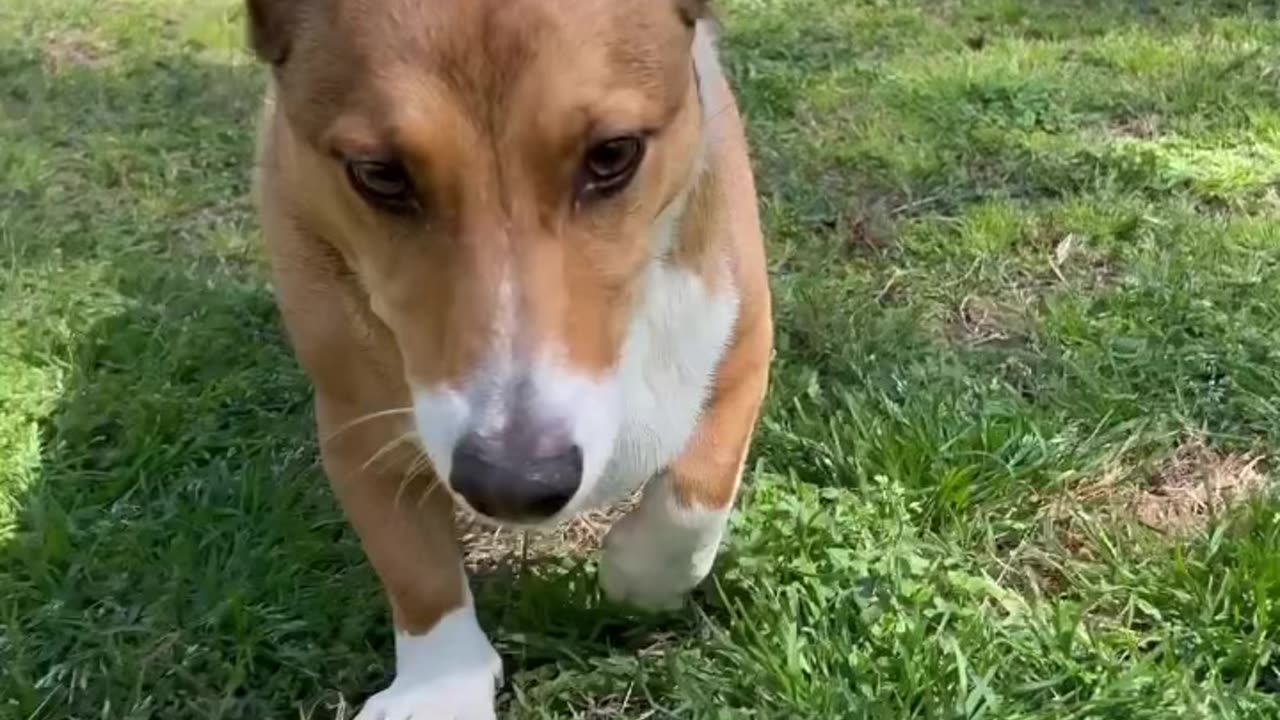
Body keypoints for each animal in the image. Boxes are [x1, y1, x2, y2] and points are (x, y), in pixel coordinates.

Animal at [247, 0, 768, 712]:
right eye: (378, 174)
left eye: (614, 153)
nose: (514, 484)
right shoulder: (356, 427)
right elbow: (416, 570)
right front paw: (440, 686)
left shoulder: (744, 344)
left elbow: (696, 494)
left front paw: (638, 577)